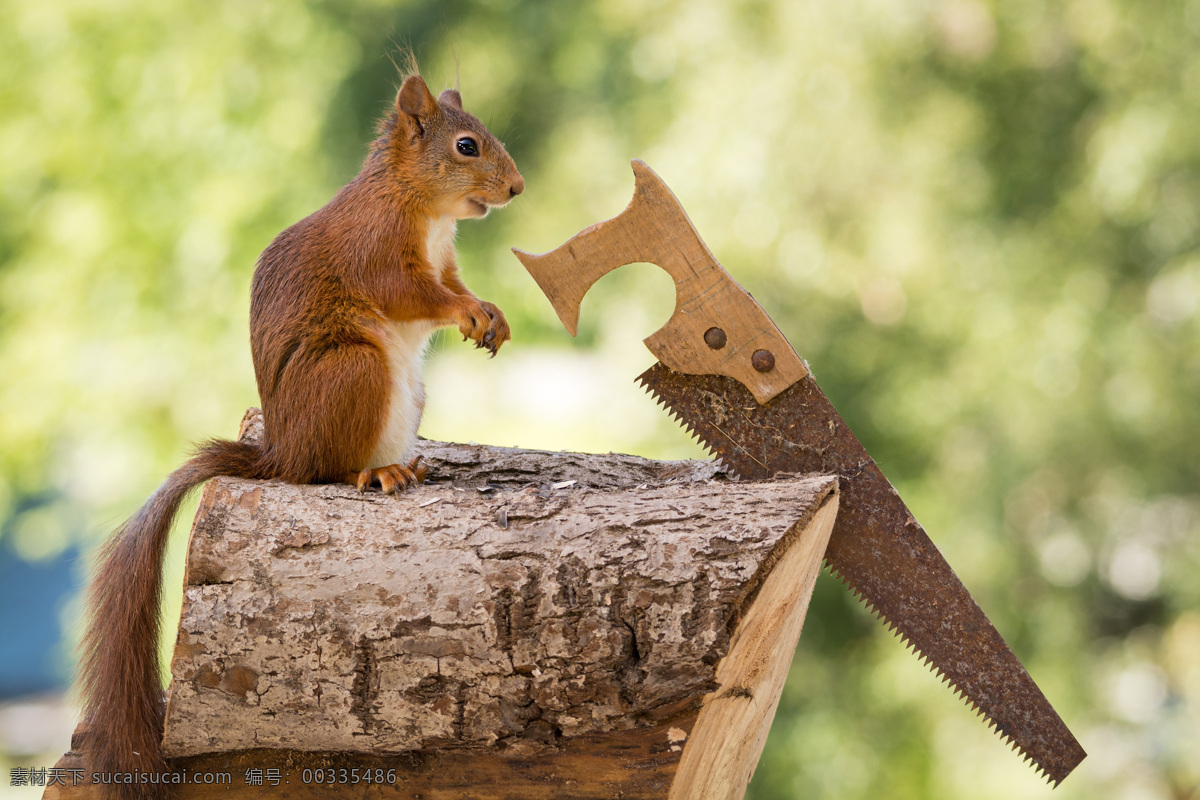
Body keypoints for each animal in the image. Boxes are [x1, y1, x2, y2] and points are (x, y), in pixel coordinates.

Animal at [79, 71, 520, 796]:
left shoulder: (445, 258)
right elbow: (411, 293)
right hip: (355, 369)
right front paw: (466, 311)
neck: (420, 205)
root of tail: (277, 455)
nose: (516, 187)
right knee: (325, 472)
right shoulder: (375, 249)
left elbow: (454, 282)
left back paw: (408, 466)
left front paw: (490, 311)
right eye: (466, 145)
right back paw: (375, 472)